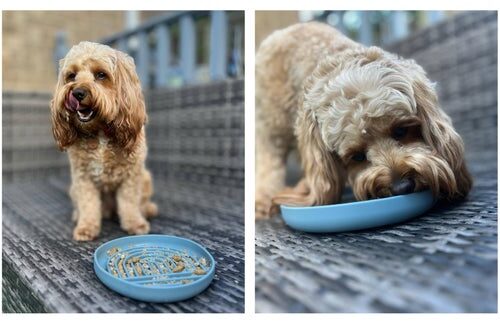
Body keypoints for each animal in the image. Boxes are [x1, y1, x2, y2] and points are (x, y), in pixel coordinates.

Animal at [50, 41, 156, 240]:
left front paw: (135, 224)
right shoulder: (83, 177)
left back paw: (148, 210)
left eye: (101, 74)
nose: (77, 92)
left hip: (145, 179)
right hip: (73, 188)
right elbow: (88, 203)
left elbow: (129, 203)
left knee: (142, 203)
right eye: (71, 76)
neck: (100, 132)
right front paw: (86, 227)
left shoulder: (131, 175)